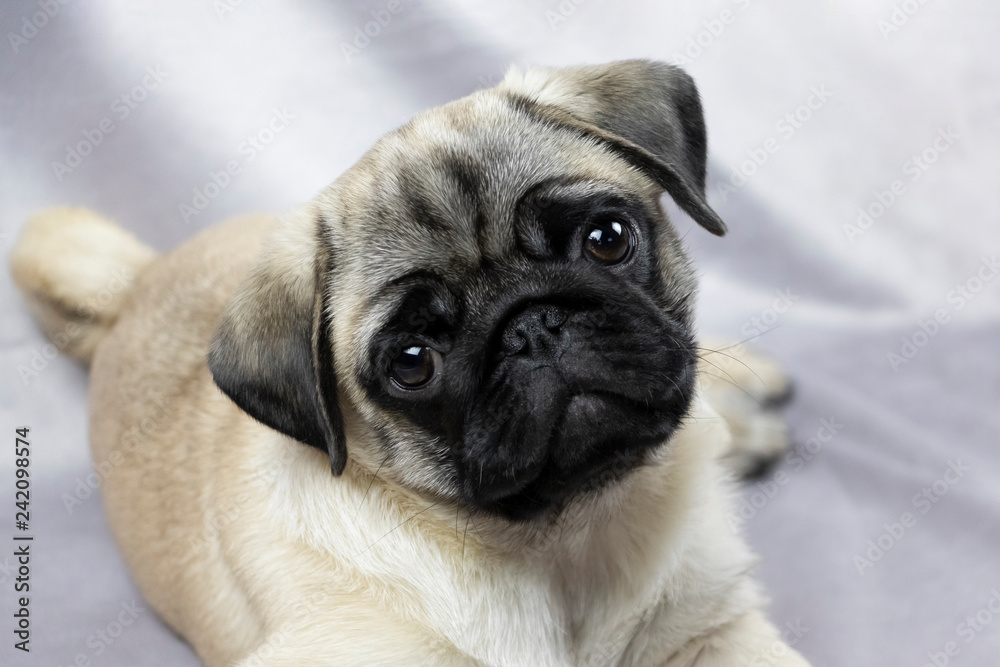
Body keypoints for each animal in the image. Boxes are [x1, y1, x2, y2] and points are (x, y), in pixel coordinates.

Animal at [11, 60, 808, 664]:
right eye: (413, 362)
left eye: (607, 238)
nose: (531, 327)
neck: (563, 542)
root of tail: (134, 284)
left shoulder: (717, 632)